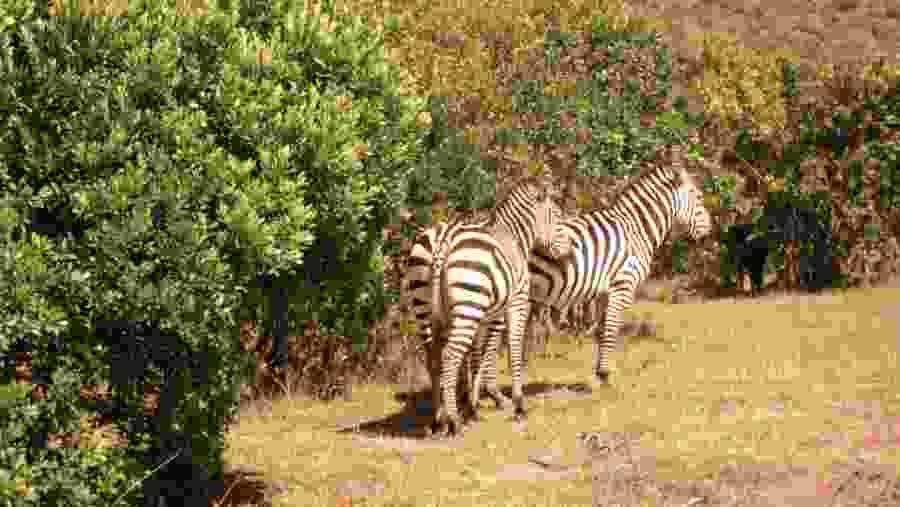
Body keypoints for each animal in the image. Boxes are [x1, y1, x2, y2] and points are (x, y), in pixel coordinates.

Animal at [401, 176, 571, 436]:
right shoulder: (514, 304)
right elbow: (508, 350)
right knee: (450, 355)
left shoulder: (484, 316)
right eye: (557, 215)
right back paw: (454, 422)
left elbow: (476, 356)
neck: (514, 236)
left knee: (434, 358)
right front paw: (516, 404)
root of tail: (442, 241)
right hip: (468, 306)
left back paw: (439, 419)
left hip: (429, 308)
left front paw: (472, 405)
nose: (569, 250)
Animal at [471, 145, 713, 403]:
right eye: (699, 197)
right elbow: (611, 330)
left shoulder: (605, 292)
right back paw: (494, 393)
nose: (709, 231)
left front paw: (598, 376)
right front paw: (606, 376)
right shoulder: (622, 285)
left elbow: (601, 330)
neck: (635, 229)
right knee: (491, 339)